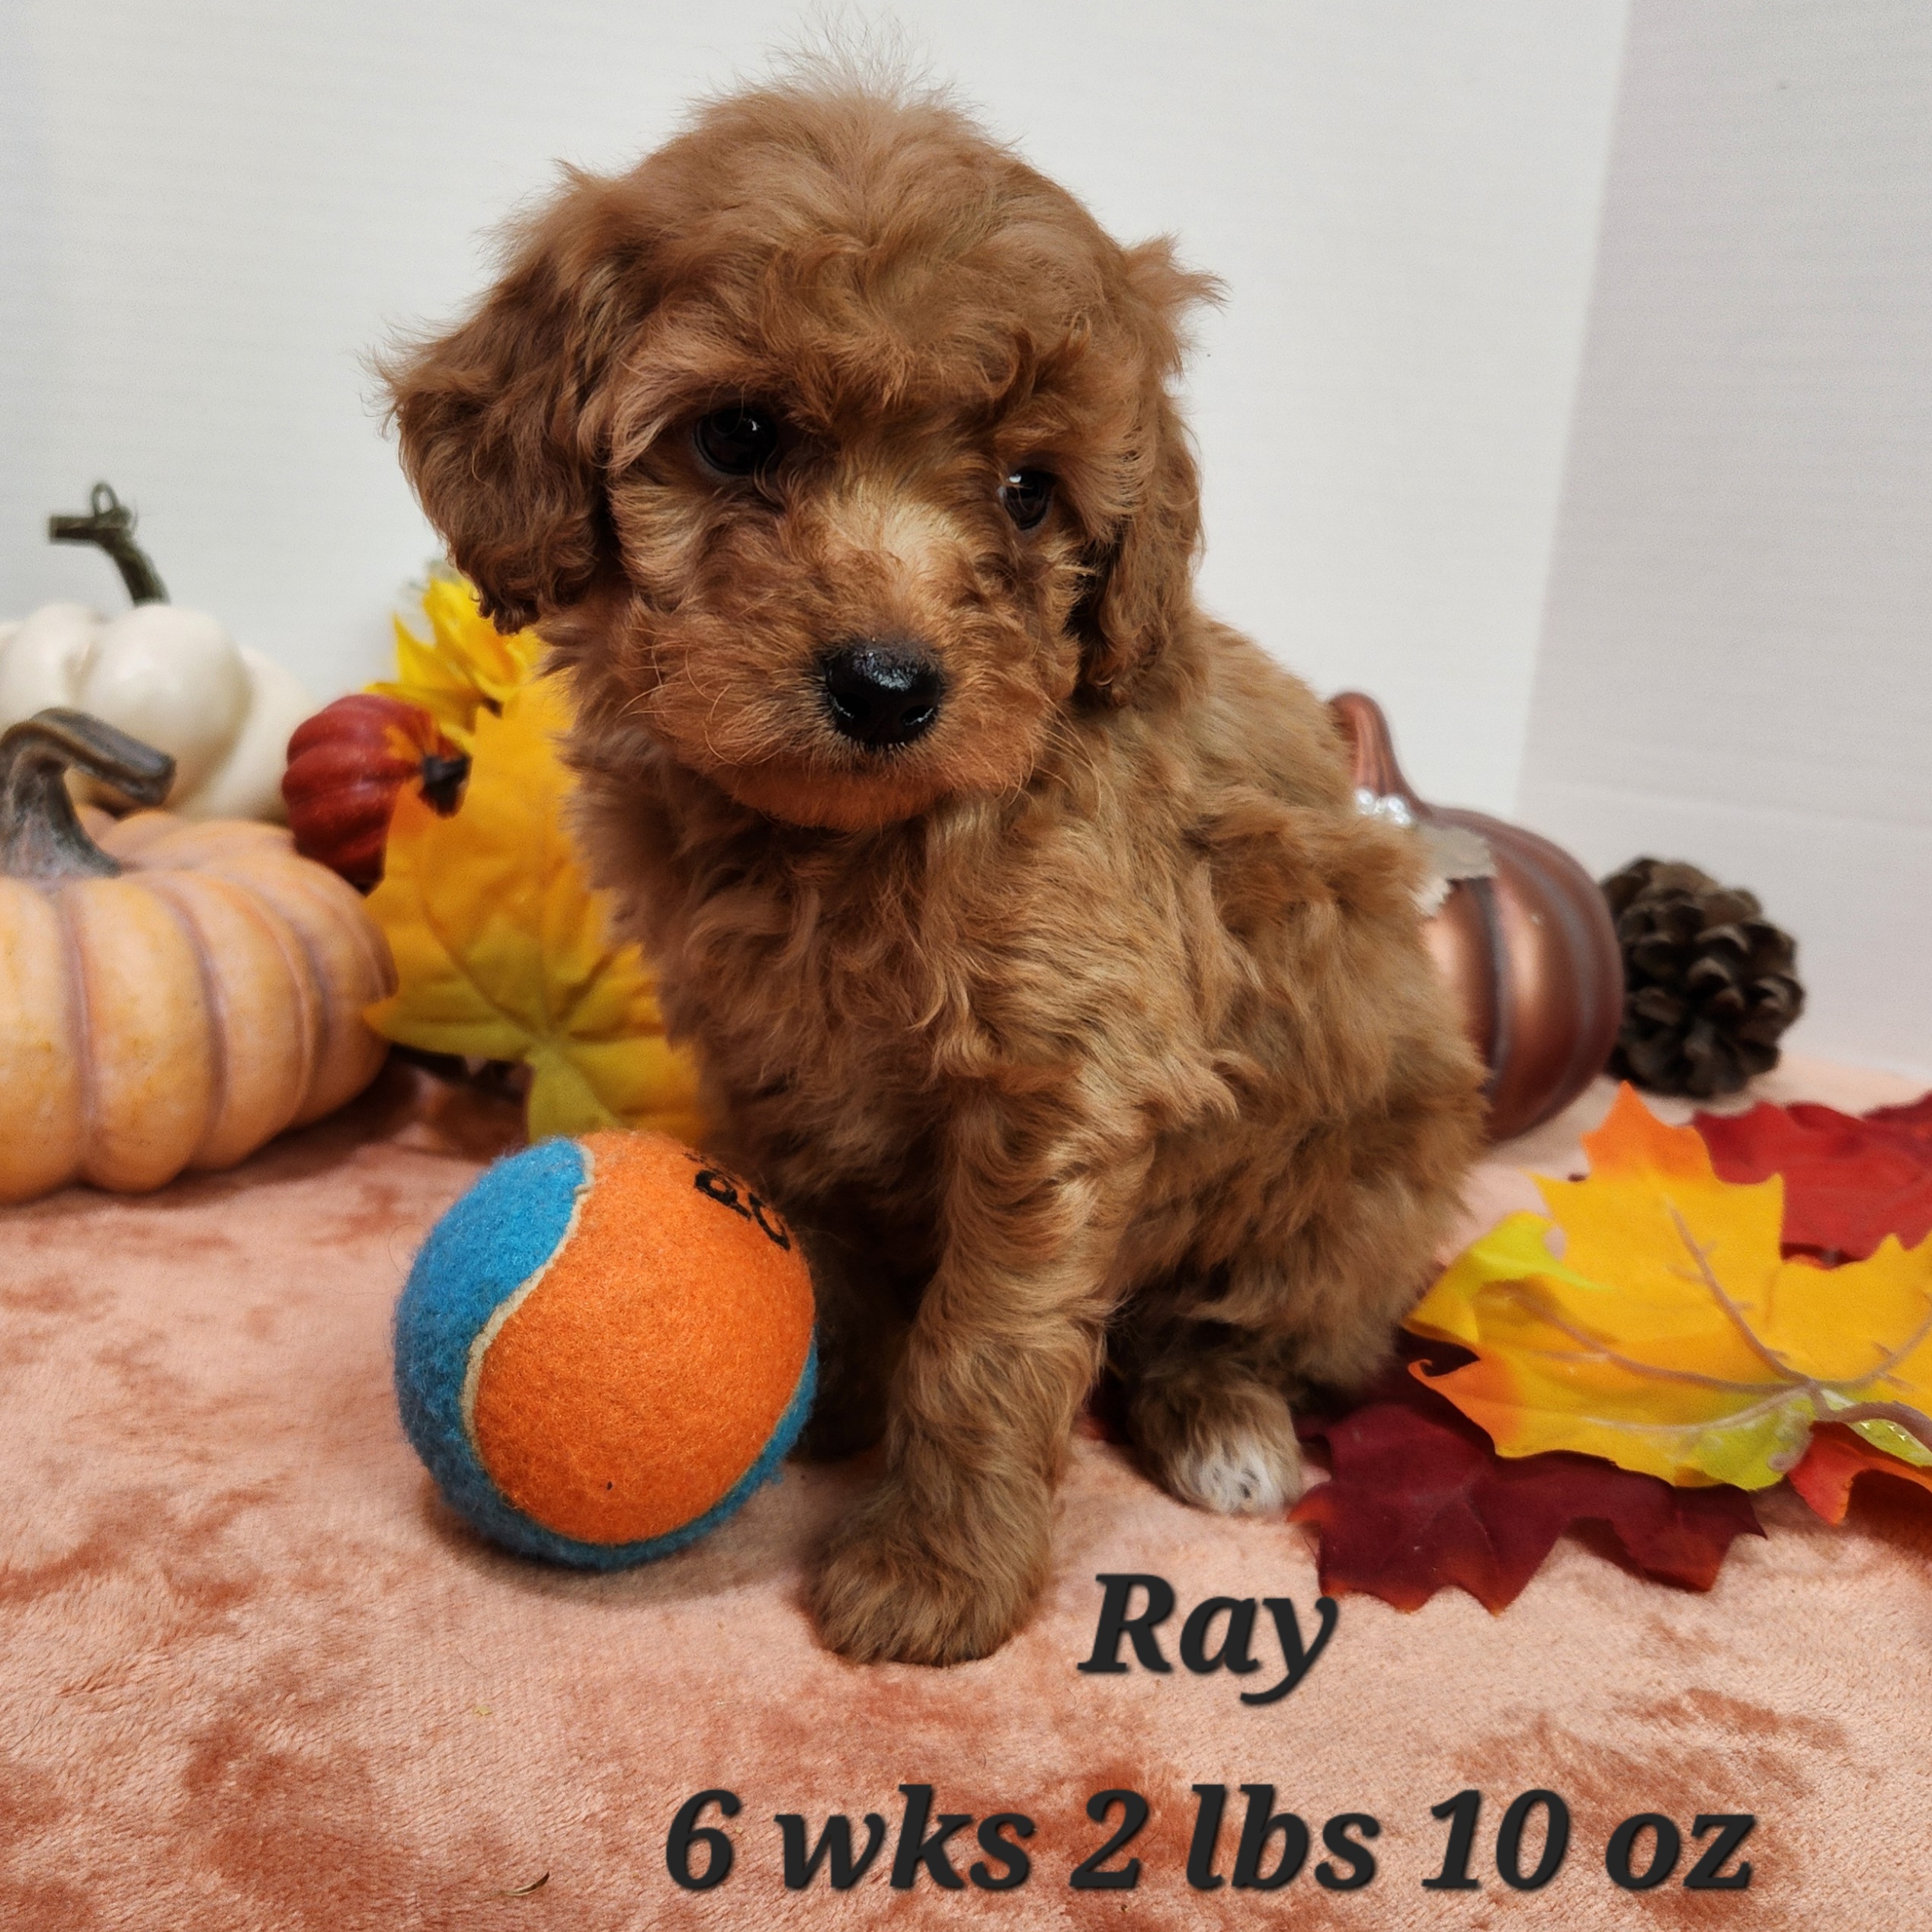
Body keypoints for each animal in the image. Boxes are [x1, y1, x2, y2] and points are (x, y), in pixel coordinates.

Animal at [388, 75, 1475, 1669]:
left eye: (1028, 493)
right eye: (741, 436)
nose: (889, 687)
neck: (845, 841)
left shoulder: (1063, 1075)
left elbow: (991, 1343)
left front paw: (933, 1573)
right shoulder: (758, 1045)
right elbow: (815, 1226)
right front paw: (820, 1380)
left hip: (1354, 1190)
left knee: (1242, 1322)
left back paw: (1225, 1422)